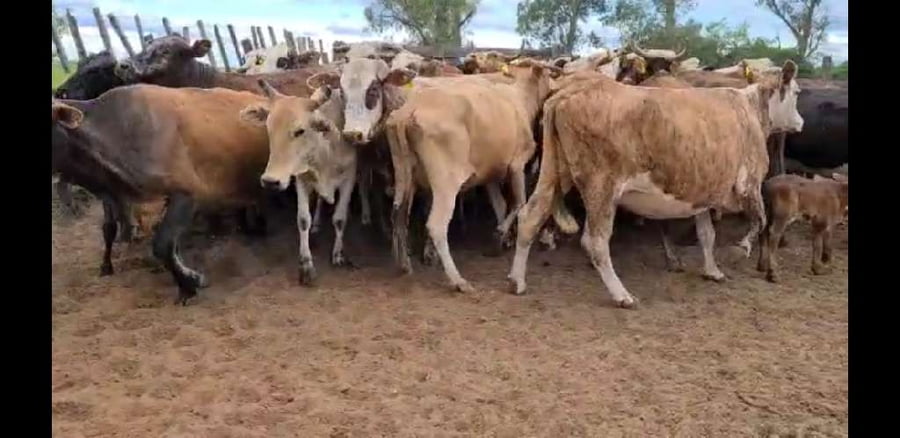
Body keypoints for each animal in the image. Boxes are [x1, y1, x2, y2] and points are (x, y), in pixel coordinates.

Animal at [240, 80, 357, 284]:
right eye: (269, 128)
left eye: (300, 131)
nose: (270, 181)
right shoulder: (301, 179)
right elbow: (303, 220)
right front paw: (306, 265)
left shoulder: (349, 178)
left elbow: (340, 219)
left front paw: (338, 254)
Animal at [383, 59, 566, 292]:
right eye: (546, 73)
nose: (556, 87)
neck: (519, 97)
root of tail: (410, 111)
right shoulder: (517, 164)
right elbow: (518, 204)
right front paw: (500, 235)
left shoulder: (491, 174)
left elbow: (500, 205)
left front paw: (500, 239)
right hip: (446, 181)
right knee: (436, 225)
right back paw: (458, 280)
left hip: (404, 173)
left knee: (398, 214)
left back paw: (404, 265)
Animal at [508, 63, 804, 308]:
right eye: (797, 92)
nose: (800, 122)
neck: (751, 109)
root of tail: (569, 92)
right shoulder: (749, 184)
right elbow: (760, 222)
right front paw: (741, 250)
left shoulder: (702, 193)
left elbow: (707, 234)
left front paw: (713, 271)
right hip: (601, 185)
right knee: (596, 241)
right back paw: (622, 295)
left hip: (555, 173)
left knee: (530, 216)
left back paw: (516, 281)